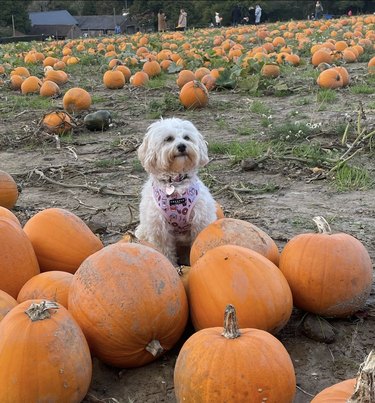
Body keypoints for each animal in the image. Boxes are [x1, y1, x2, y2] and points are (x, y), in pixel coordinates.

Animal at [135, 118, 217, 266]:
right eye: (168, 139)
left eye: (186, 137)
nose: (182, 146)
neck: (176, 183)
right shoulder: (159, 228)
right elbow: (165, 251)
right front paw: (173, 266)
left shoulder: (200, 220)